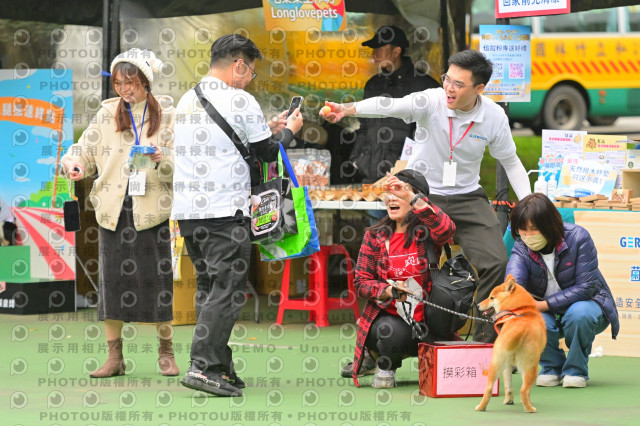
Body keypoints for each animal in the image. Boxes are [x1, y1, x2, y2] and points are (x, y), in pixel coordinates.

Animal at [475, 274, 546, 413]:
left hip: (496, 364)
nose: (478, 305)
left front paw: (508, 401)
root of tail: (521, 329)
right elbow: (526, 391)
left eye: (491, 297)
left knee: (488, 389)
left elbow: (508, 387)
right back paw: (529, 408)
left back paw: (481, 407)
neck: (521, 310)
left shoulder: (507, 365)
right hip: (531, 366)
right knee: (524, 390)